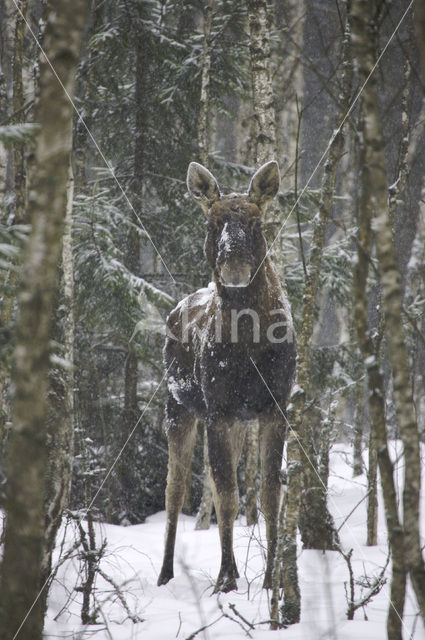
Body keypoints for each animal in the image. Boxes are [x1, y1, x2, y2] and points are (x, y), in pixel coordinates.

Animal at [157, 162, 294, 592]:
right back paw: (166, 573)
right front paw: (225, 581)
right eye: (212, 222)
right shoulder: (217, 410)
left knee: (217, 488)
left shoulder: (275, 407)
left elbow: (268, 494)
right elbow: (231, 497)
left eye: (257, 223)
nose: (235, 268)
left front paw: (271, 580)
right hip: (179, 407)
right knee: (175, 490)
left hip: (233, 420)